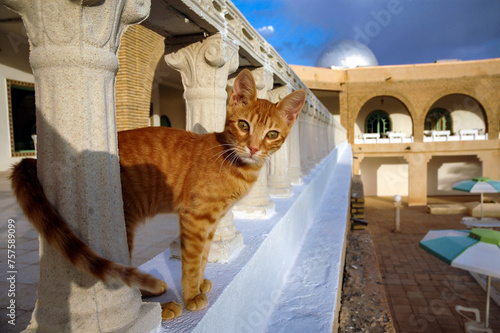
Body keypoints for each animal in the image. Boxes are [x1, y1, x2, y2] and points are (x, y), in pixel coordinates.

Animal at [11, 68, 306, 320]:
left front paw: (200, 284)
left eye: (272, 134)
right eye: (244, 126)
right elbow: (191, 261)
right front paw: (191, 295)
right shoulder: (195, 217)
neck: (232, 160)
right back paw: (160, 307)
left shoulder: (210, 222)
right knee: (121, 278)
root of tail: (35, 158)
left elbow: (203, 256)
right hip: (124, 224)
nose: (254, 148)